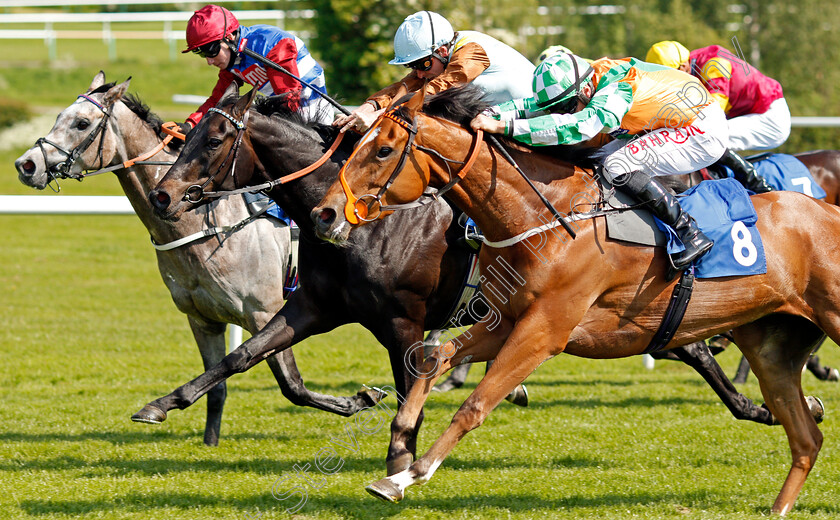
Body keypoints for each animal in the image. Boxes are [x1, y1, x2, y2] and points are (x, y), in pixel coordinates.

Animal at [12, 72, 374, 446]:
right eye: (58, 117)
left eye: (82, 123)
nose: (26, 165)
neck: (205, 224)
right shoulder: (202, 319)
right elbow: (217, 383)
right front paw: (208, 441)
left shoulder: (265, 312)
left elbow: (291, 385)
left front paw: (358, 400)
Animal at [310, 85, 840, 512]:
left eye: (382, 150)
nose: (323, 214)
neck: (545, 219)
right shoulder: (508, 319)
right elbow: (434, 358)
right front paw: (399, 442)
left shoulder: (546, 330)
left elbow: (476, 404)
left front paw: (409, 475)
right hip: (773, 346)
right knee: (806, 438)